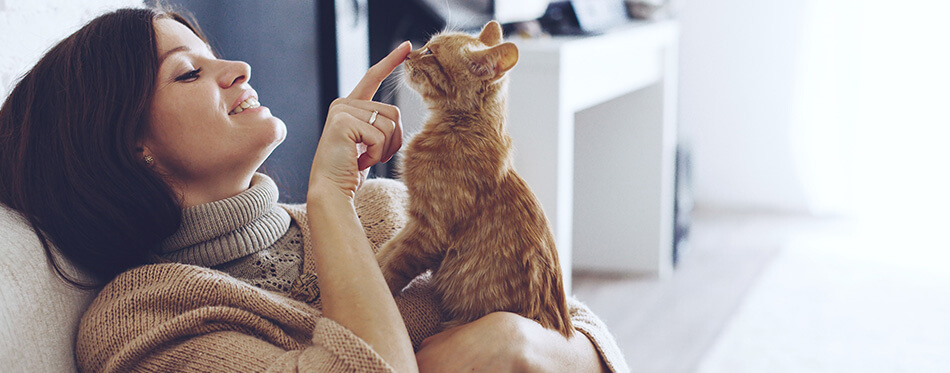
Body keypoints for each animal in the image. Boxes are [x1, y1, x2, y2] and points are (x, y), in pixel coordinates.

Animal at [378, 19, 572, 334]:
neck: (460, 128)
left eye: (430, 52)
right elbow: (386, 250)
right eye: (425, 45)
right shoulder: (415, 223)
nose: (408, 54)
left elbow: (392, 268)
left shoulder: (428, 230)